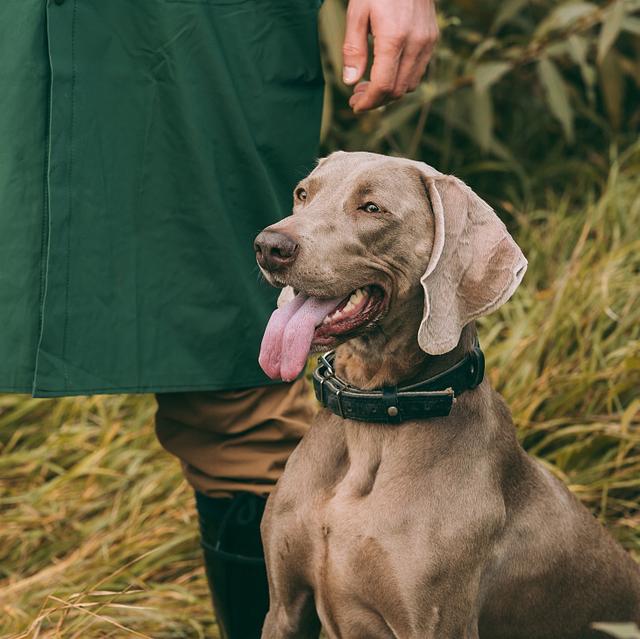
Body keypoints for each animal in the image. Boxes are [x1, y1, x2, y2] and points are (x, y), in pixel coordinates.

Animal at [252, 152, 636, 636]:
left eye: (372, 208)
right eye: (303, 193)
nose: (268, 246)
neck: (374, 417)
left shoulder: (438, 622)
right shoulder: (284, 608)